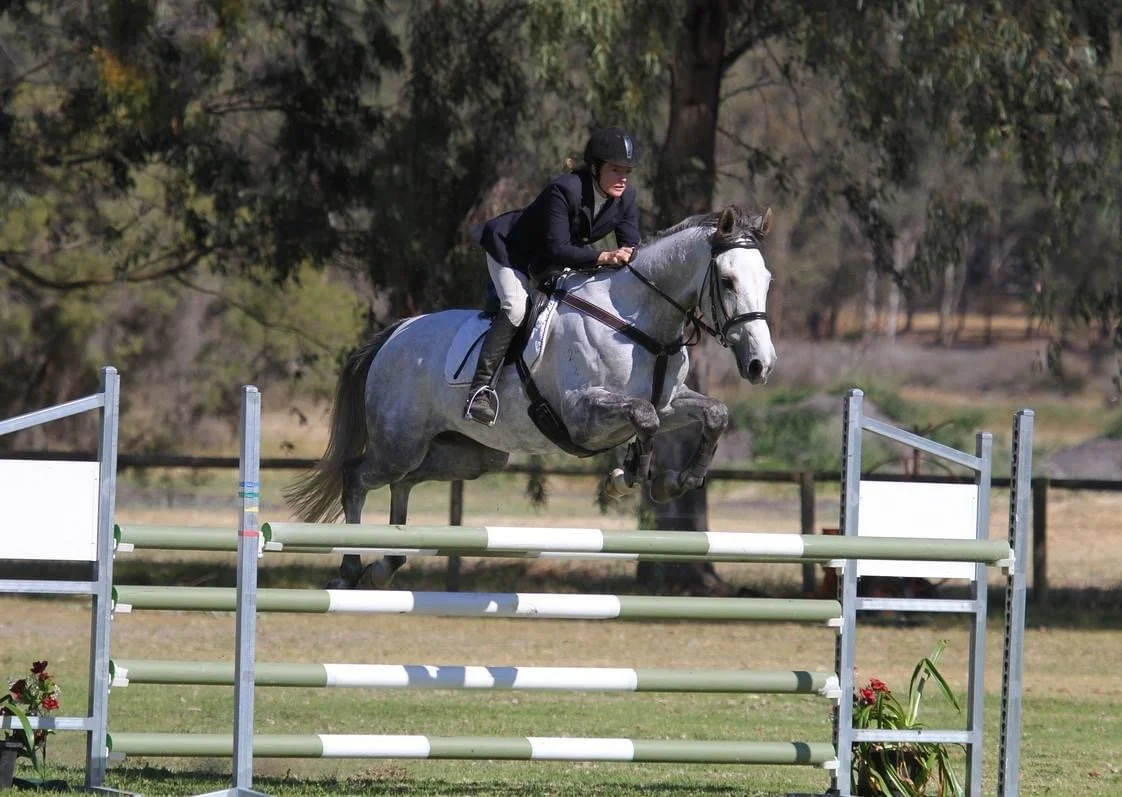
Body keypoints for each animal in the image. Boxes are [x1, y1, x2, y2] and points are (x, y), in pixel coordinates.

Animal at [284, 205, 777, 589]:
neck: (638, 320)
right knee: (357, 477)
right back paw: (350, 568)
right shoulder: (582, 414)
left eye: (767, 280)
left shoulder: (670, 402)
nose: (761, 365)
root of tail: (394, 335)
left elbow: (714, 413)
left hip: (469, 454)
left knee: (403, 481)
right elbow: (643, 418)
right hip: (398, 443)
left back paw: (386, 563)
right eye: (728, 281)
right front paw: (628, 476)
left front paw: (677, 481)